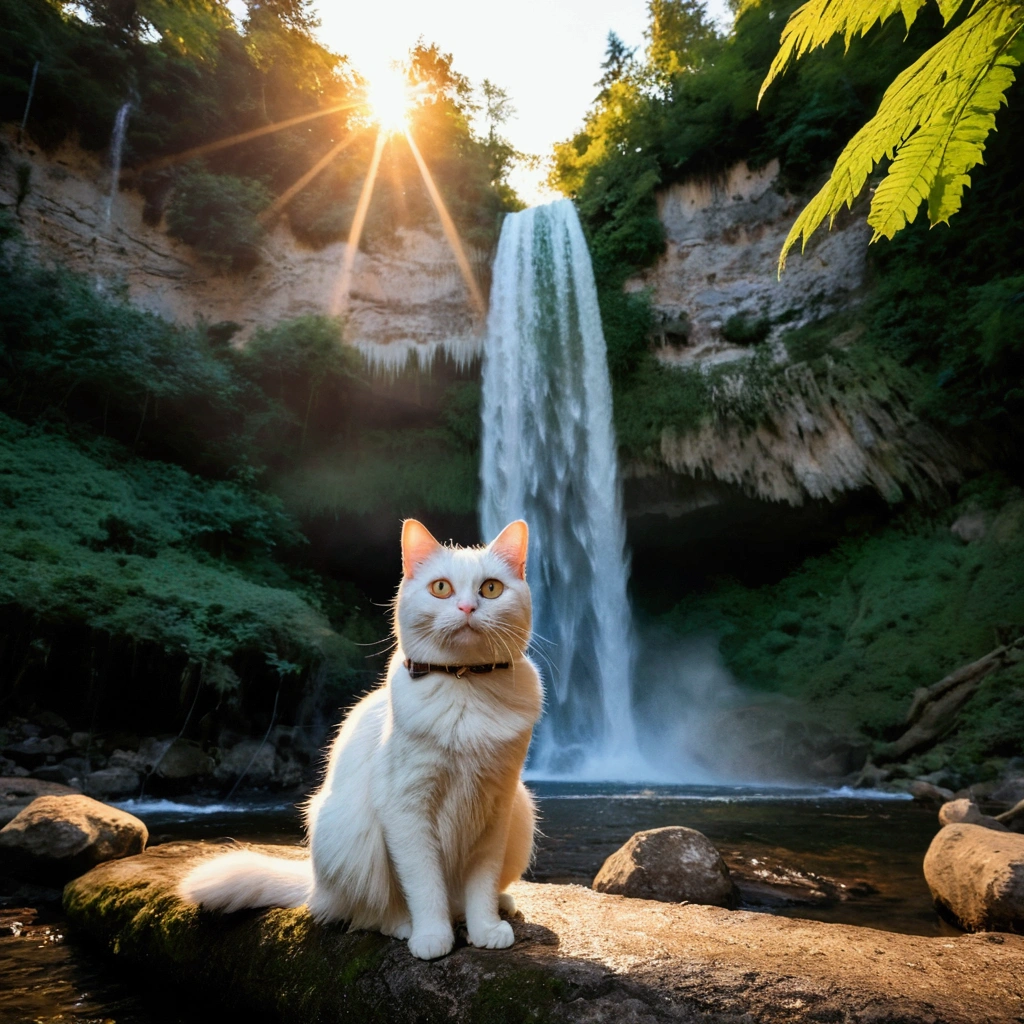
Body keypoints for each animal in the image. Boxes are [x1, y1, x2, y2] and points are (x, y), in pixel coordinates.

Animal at [181, 520, 544, 958]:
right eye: (441, 588)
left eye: (490, 589)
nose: (467, 609)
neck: (466, 686)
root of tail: (315, 885)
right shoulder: (406, 809)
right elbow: (425, 885)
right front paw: (432, 937)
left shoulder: (494, 807)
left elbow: (481, 885)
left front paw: (486, 928)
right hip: (350, 833)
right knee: (360, 912)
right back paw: (403, 926)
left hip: (522, 809)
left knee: (460, 899)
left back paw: (500, 906)